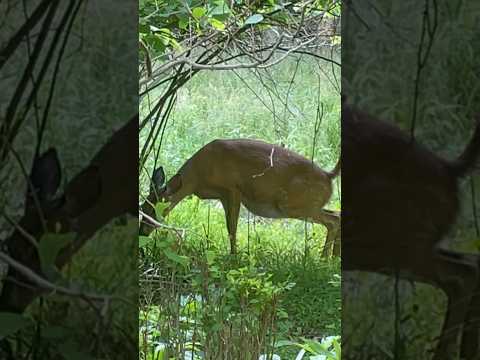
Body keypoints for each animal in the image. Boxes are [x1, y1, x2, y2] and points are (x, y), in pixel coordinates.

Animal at [139, 139, 342, 258]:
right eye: (142, 207)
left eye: (152, 209)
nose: (142, 233)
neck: (197, 176)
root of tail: (328, 176)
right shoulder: (222, 196)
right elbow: (230, 227)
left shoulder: (233, 189)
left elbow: (232, 228)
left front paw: (234, 258)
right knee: (336, 214)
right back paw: (333, 259)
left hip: (292, 205)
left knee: (333, 220)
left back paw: (324, 259)